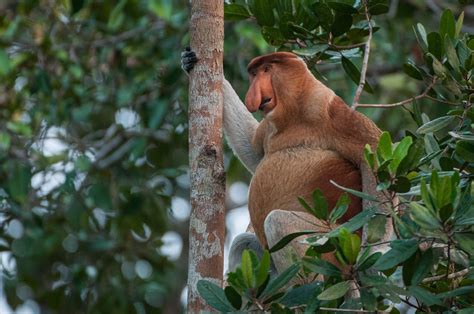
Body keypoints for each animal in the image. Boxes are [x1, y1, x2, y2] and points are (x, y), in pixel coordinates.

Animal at [181, 48, 386, 274]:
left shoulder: (329, 109)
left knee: (278, 222)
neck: (293, 114)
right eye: (254, 74)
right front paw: (189, 61)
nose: (253, 95)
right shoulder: (269, 127)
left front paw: (377, 250)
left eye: (267, 69)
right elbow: (254, 153)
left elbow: (372, 153)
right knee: (243, 243)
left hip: (333, 241)